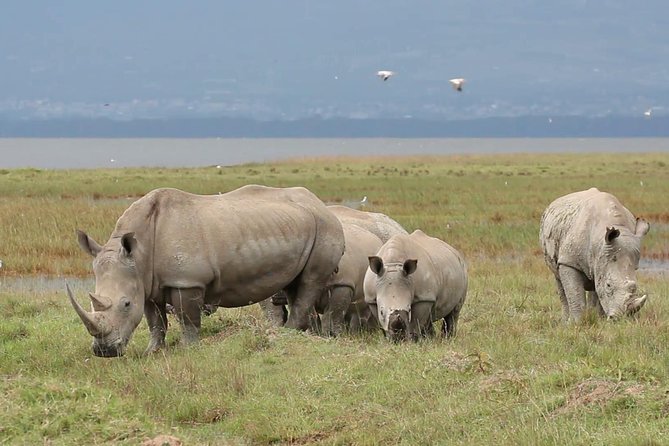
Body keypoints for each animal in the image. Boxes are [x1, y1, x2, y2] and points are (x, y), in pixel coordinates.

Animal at [68, 185, 345, 357]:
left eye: (125, 304)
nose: (104, 352)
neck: (139, 253)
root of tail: (320, 203)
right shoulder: (147, 283)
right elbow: (155, 321)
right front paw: (152, 352)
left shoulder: (186, 281)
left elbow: (188, 318)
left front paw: (188, 349)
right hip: (300, 226)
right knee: (293, 284)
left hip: (325, 227)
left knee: (310, 281)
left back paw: (288, 333)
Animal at [539, 187, 650, 321]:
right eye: (608, 285)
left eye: (635, 287)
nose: (621, 318)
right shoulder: (569, 261)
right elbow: (574, 293)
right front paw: (577, 322)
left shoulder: (603, 258)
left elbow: (598, 291)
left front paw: (600, 320)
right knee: (559, 280)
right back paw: (565, 321)